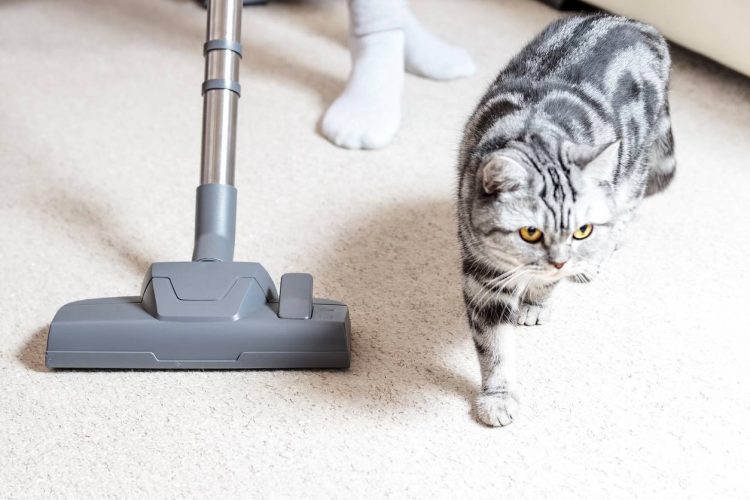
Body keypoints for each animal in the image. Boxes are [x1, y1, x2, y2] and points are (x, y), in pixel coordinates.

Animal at [456, 12, 680, 426]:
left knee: (625, 213)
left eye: (582, 230)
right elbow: (494, 347)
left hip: (633, 169)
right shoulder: (483, 274)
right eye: (530, 232)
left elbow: (545, 287)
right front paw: (497, 396)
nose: (561, 261)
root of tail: (637, 22)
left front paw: (536, 303)